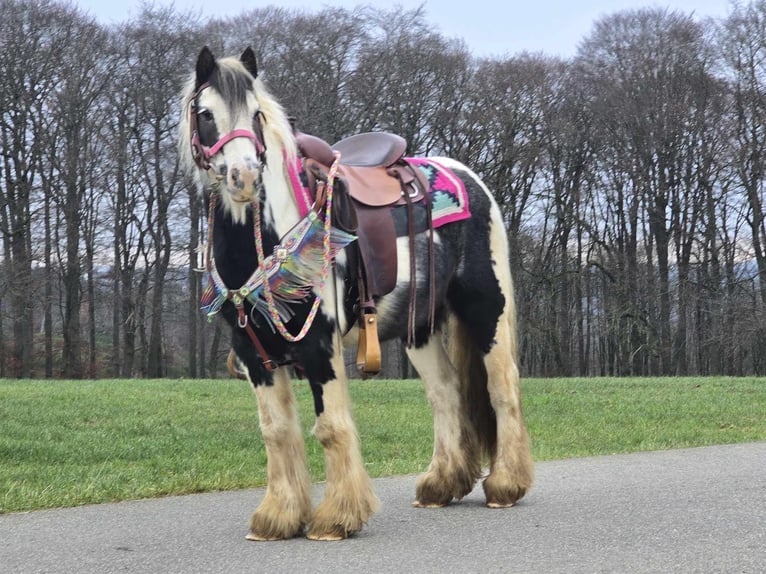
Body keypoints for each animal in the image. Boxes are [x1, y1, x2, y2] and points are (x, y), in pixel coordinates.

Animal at [179, 47, 536, 544]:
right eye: (206, 114)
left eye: (257, 114)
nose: (244, 177)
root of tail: (467, 177)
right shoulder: (254, 353)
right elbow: (276, 431)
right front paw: (278, 517)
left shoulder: (319, 345)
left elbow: (329, 427)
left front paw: (336, 518)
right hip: (419, 327)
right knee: (445, 392)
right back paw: (440, 484)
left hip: (486, 308)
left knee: (502, 386)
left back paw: (505, 484)